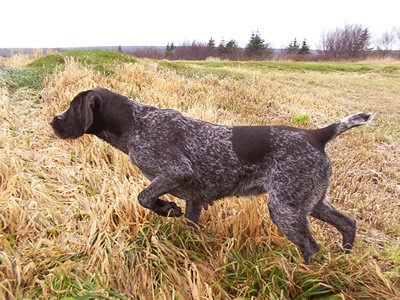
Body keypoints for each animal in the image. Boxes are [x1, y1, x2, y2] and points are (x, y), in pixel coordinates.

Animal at [50, 86, 372, 262]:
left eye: (71, 107)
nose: (52, 122)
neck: (135, 124)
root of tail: (317, 135)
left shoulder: (176, 170)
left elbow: (143, 197)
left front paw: (166, 208)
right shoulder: (194, 199)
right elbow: (189, 226)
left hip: (285, 208)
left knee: (311, 247)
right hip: (311, 201)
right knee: (348, 223)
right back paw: (343, 258)